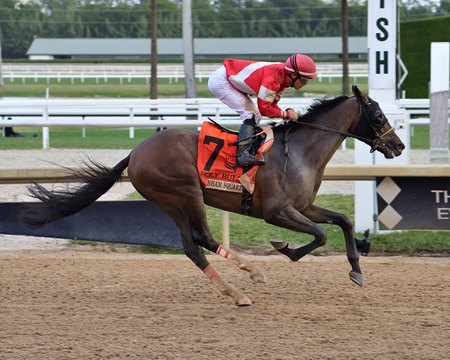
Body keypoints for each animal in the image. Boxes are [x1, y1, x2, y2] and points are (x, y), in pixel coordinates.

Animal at [22, 86, 406, 306]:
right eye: (377, 114)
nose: (399, 146)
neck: (298, 151)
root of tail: (135, 152)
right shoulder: (277, 212)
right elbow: (321, 235)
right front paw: (285, 249)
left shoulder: (305, 206)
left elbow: (343, 221)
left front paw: (356, 270)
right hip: (186, 192)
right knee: (202, 237)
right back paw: (249, 278)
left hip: (168, 203)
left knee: (192, 247)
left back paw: (237, 290)